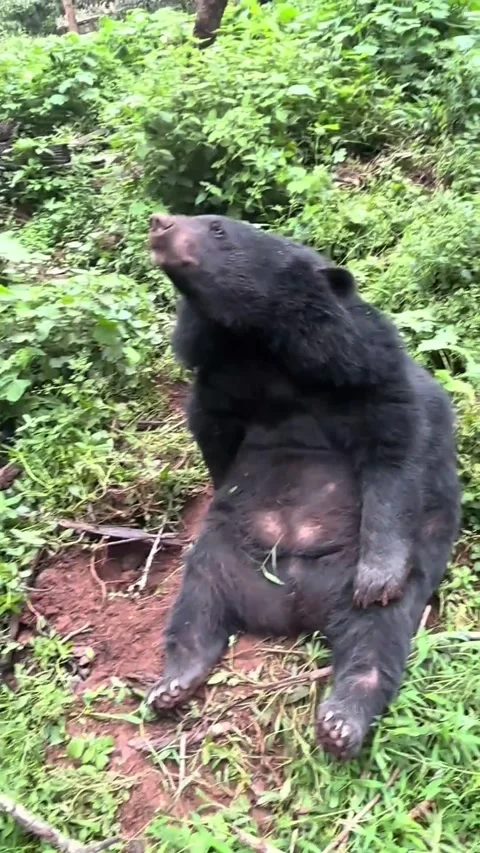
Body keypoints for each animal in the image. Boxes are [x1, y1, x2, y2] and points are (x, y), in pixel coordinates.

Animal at [145, 212, 460, 760]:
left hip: (365, 575)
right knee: (195, 609)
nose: (159, 222)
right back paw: (174, 683)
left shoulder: (368, 369)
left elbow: (396, 455)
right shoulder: (214, 383)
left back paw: (341, 722)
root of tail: (291, 608)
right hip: (222, 554)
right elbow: (213, 435)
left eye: (217, 228)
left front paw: (376, 580)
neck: (259, 345)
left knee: (376, 639)